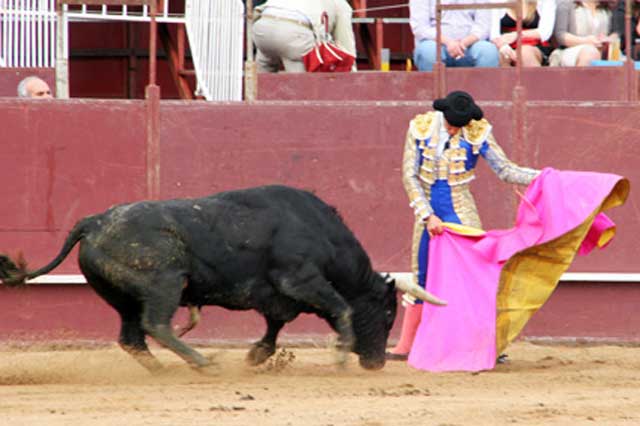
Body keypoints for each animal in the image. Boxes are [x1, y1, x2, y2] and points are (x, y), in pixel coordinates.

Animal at [0, 185, 444, 372]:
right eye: (387, 315)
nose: (376, 363)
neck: (320, 233)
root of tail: (93, 221)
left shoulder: (278, 294)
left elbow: (276, 325)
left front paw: (257, 355)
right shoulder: (300, 280)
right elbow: (341, 308)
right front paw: (339, 354)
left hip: (121, 297)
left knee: (132, 337)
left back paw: (166, 370)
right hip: (163, 282)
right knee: (156, 325)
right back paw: (201, 362)